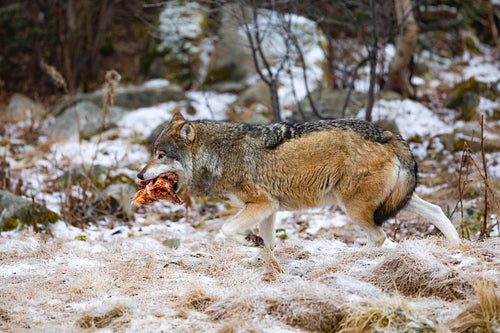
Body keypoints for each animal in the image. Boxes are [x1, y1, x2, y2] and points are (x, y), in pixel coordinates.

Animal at [137, 111, 460, 249]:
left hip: (354, 209)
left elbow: (226, 229)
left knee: (379, 237)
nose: (139, 175)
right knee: (436, 211)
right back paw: (458, 248)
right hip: (398, 200)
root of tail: (390, 134)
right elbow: (269, 244)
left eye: (161, 155)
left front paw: (247, 240)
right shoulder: (270, 209)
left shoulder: (261, 204)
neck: (218, 155)